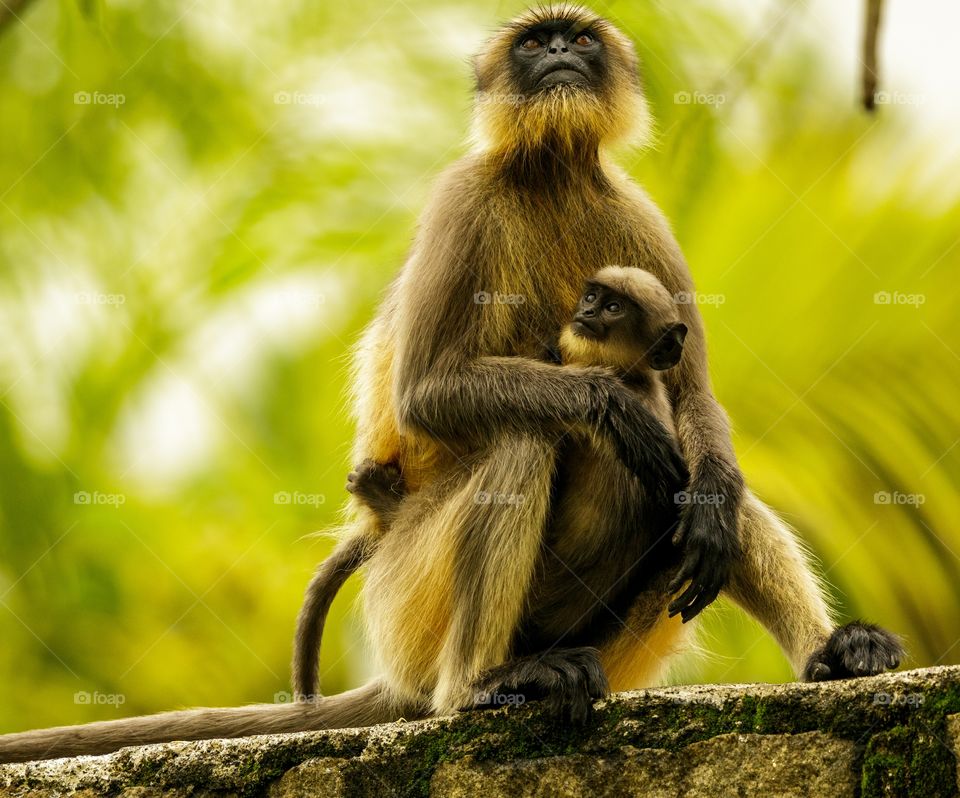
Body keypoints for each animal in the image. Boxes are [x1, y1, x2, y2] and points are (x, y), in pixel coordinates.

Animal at [0, 4, 904, 762]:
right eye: (536, 43)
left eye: (580, 40)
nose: (561, 54)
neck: (550, 170)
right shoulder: (462, 197)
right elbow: (429, 392)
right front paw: (613, 407)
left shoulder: (637, 213)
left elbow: (691, 405)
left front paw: (704, 489)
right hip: (411, 596)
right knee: (527, 436)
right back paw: (478, 686)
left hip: (613, 631)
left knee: (708, 483)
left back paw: (830, 653)